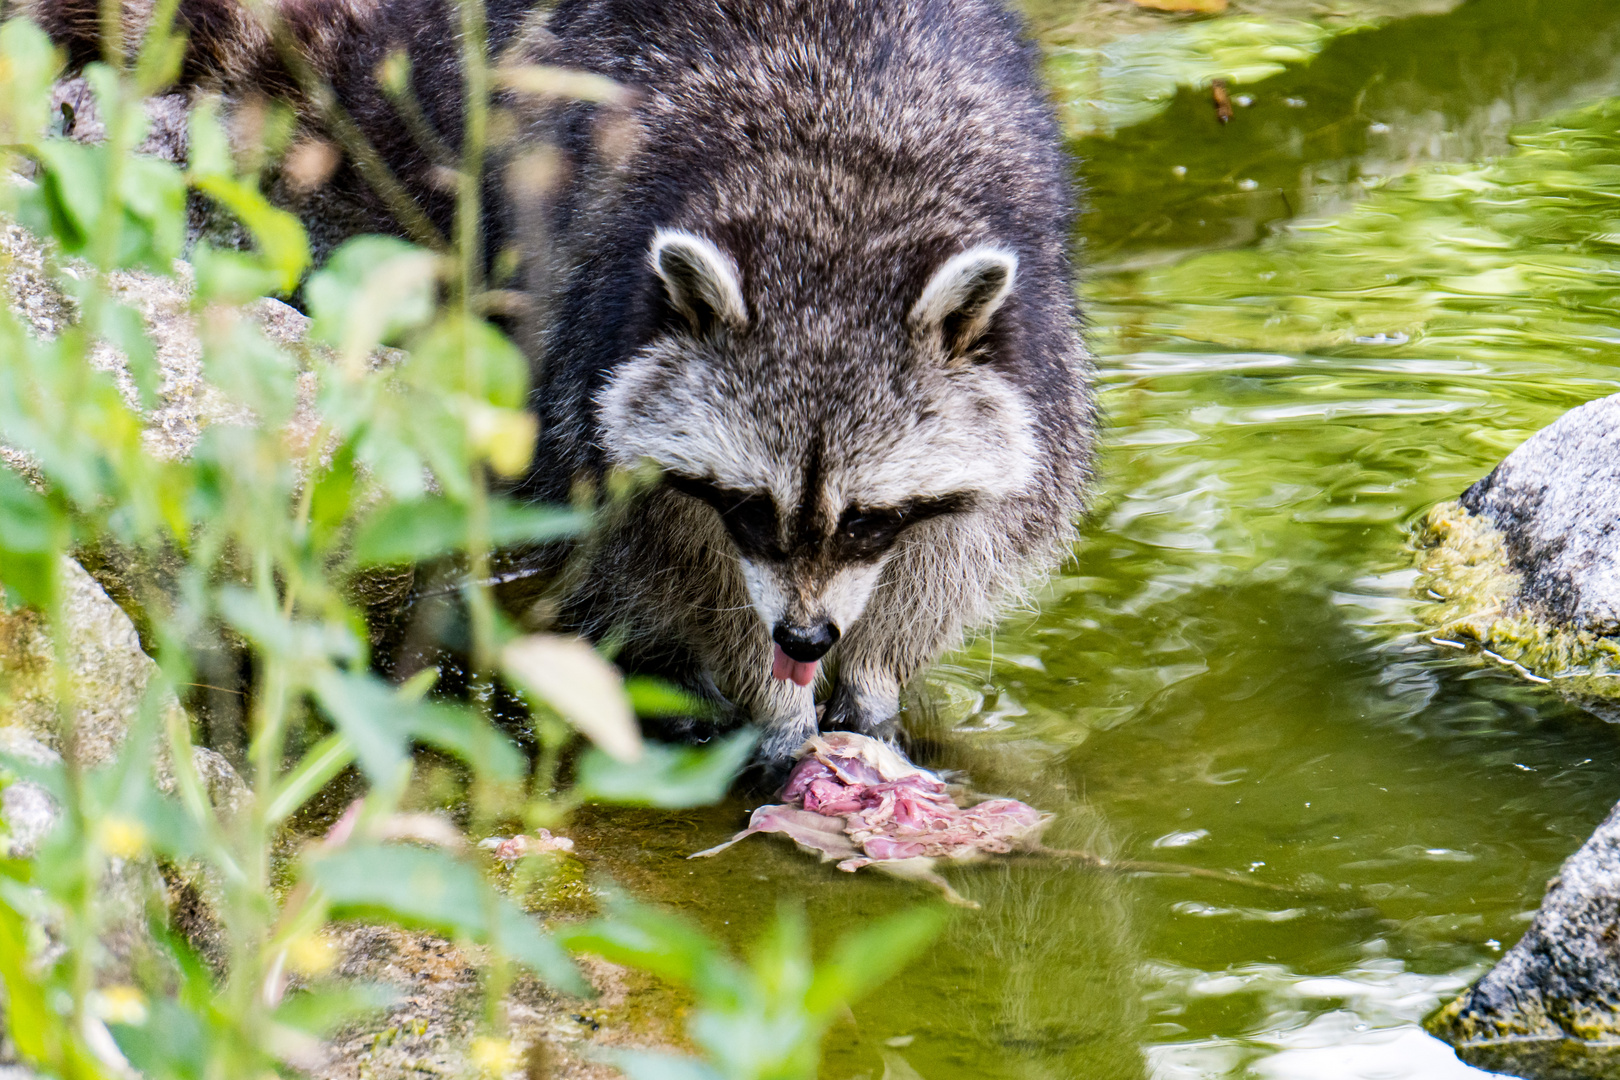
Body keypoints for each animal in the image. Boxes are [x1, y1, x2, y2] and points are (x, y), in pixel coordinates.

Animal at [38, 0, 1095, 767]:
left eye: (871, 518)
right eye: (750, 507)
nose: (803, 640)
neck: (838, 202)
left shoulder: (1034, 352)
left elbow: (971, 544)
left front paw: (874, 677)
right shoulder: (599, 330)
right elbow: (666, 566)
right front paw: (762, 695)